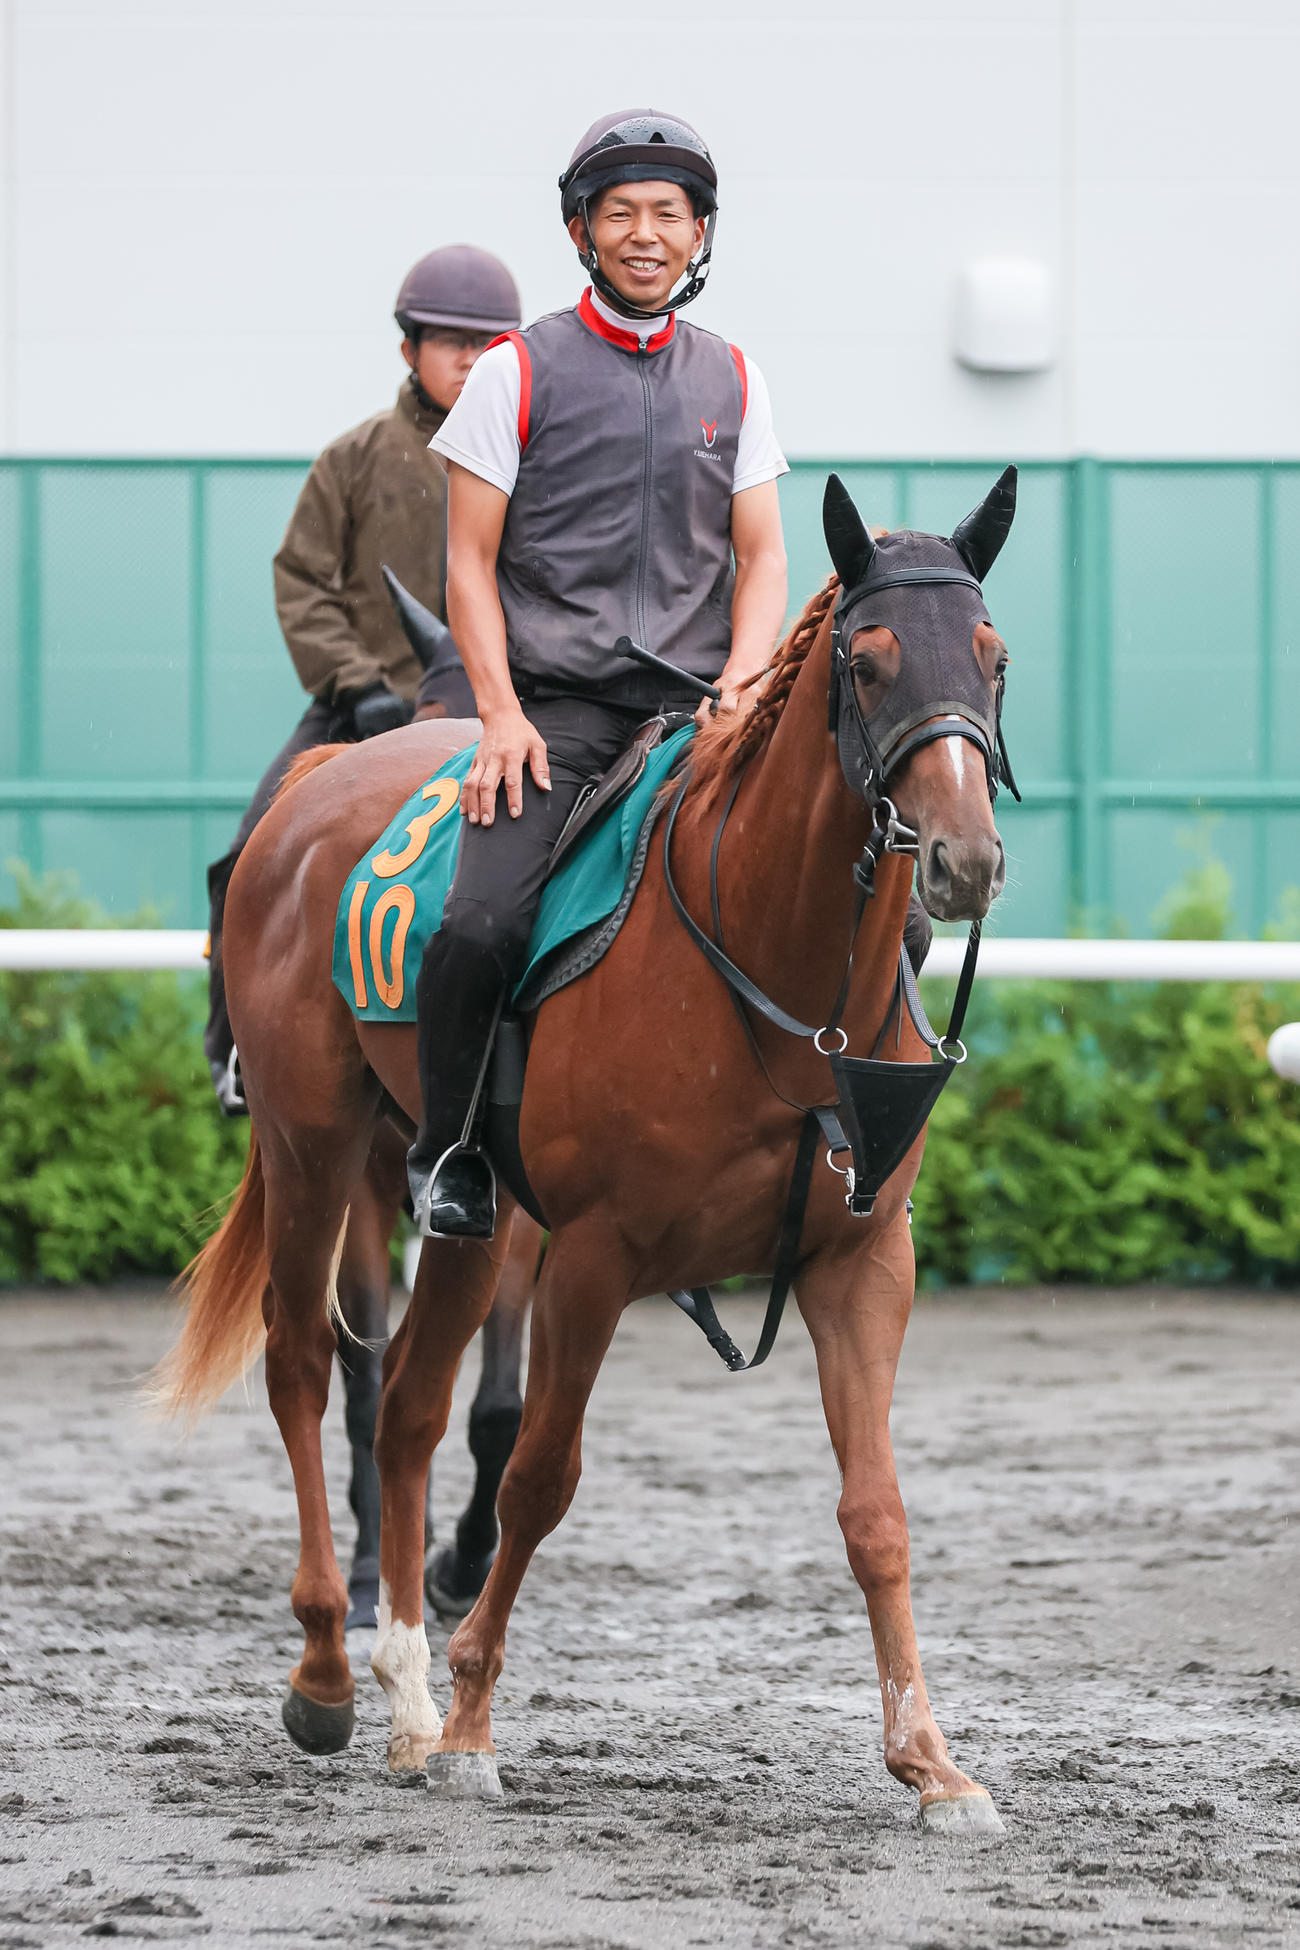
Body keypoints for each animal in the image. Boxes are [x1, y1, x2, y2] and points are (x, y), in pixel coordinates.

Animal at [154, 469, 1016, 1832]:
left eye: (992, 657)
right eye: (869, 662)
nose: (963, 859)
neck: (770, 967)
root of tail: (327, 779)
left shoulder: (863, 1263)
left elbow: (875, 1512)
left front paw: (930, 1762)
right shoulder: (597, 1260)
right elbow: (537, 1480)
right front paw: (474, 1729)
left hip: (470, 1208)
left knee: (409, 1408)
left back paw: (404, 1694)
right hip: (313, 1142)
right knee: (306, 1365)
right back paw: (333, 1670)